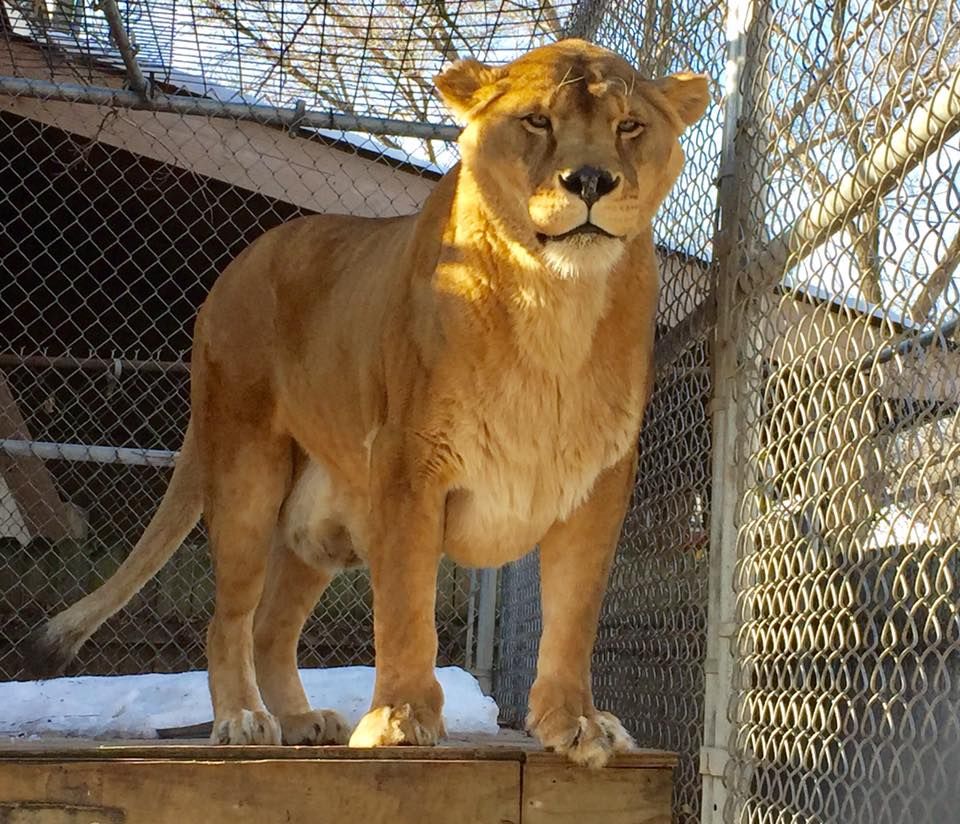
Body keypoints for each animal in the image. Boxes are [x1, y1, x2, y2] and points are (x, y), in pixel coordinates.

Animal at [23, 39, 708, 768]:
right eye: (537, 122)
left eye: (629, 126)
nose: (591, 181)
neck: (556, 304)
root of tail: (238, 265)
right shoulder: (411, 459)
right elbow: (407, 605)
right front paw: (400, 719)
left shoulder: (599, 480)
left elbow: (575, 613)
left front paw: (574, 723)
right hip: (245, 466)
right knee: (229, 618)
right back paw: (242, 718)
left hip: (320, 532)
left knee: (271, 628)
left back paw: (301, 719)